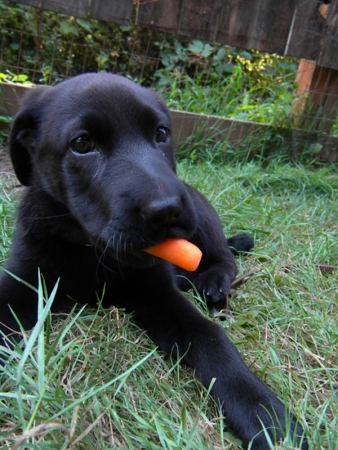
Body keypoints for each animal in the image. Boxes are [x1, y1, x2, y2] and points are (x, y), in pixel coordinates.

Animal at [0, 72, 306, 448]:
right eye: (82, 143)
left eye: (161, 133)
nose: (167, 210)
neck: (91, 252)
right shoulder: (23, 280)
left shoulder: (159, 293)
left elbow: (213, 339)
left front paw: (265, 415)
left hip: (202, 216)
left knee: (223, 256)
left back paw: (213, 281)